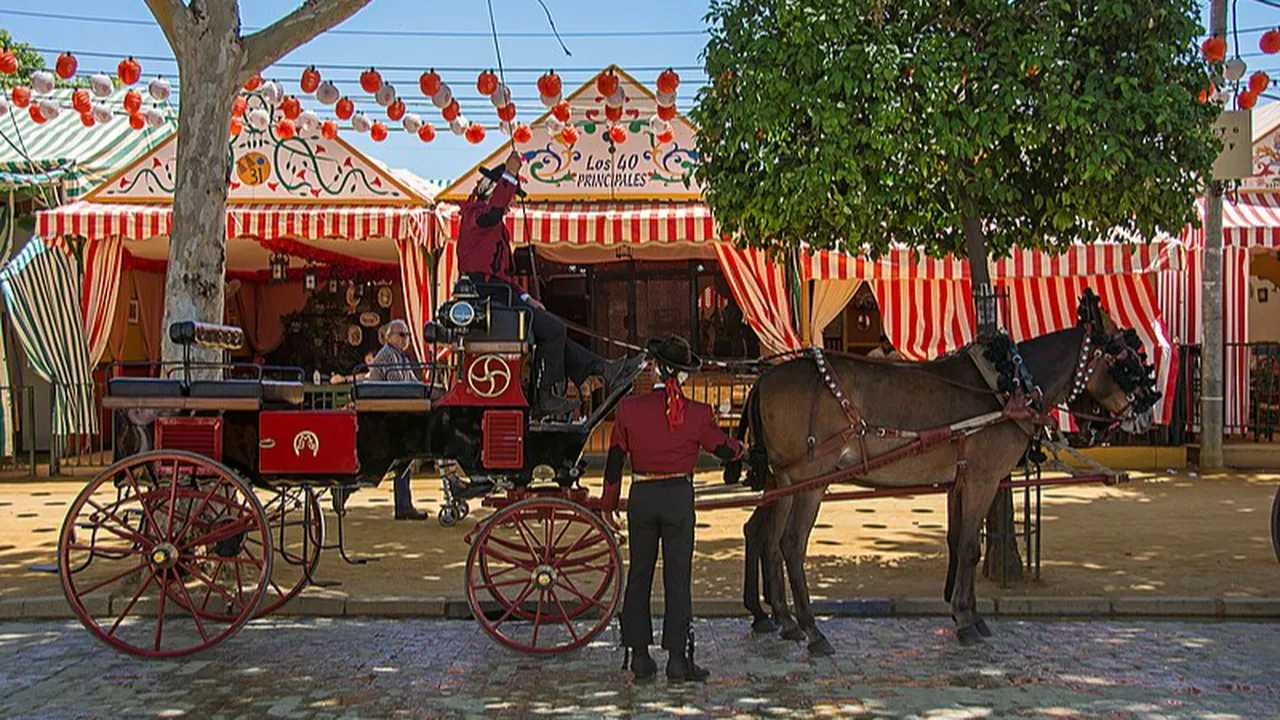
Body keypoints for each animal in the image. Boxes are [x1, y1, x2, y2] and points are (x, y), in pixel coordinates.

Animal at [721, 286, 1162, 650]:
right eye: (1127, 358)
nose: (1148, 405)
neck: (1008, 386)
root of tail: (765, 378)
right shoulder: (984, 478)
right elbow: (968, 547)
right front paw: (967, 622)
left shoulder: (961, 480)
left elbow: (960, 543)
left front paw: (966, 612)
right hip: (811, 479)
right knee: (790, 543)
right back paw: (812, 630)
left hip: (783, 476)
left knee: (764, 533)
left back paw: (782, 620)